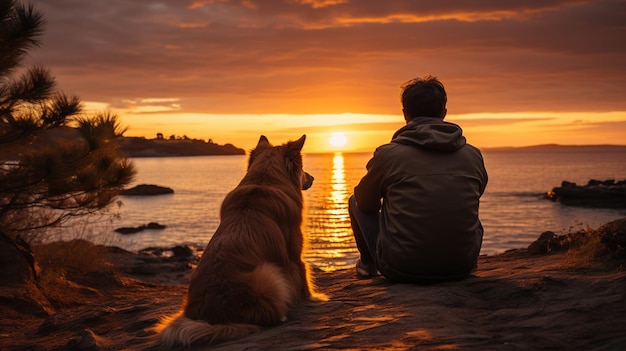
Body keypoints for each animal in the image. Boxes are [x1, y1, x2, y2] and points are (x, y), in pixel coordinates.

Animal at [155, 135, 322, 350]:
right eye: (302, 169)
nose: (313, 178)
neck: (264, 181)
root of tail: (216, 319)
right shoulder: (294, 251)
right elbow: (303, 275)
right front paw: (314, 298)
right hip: (268, 274)